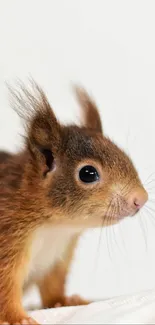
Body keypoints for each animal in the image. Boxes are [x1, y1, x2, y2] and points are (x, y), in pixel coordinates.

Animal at [0, 79, 148, 322]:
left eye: (123, 154)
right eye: (88, 173)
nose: (141, 199)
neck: (54, 226)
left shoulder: (57, 256)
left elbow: (53, 286)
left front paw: (65, 301)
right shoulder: (8, 238)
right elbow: (6, 287)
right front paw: (17, 318)